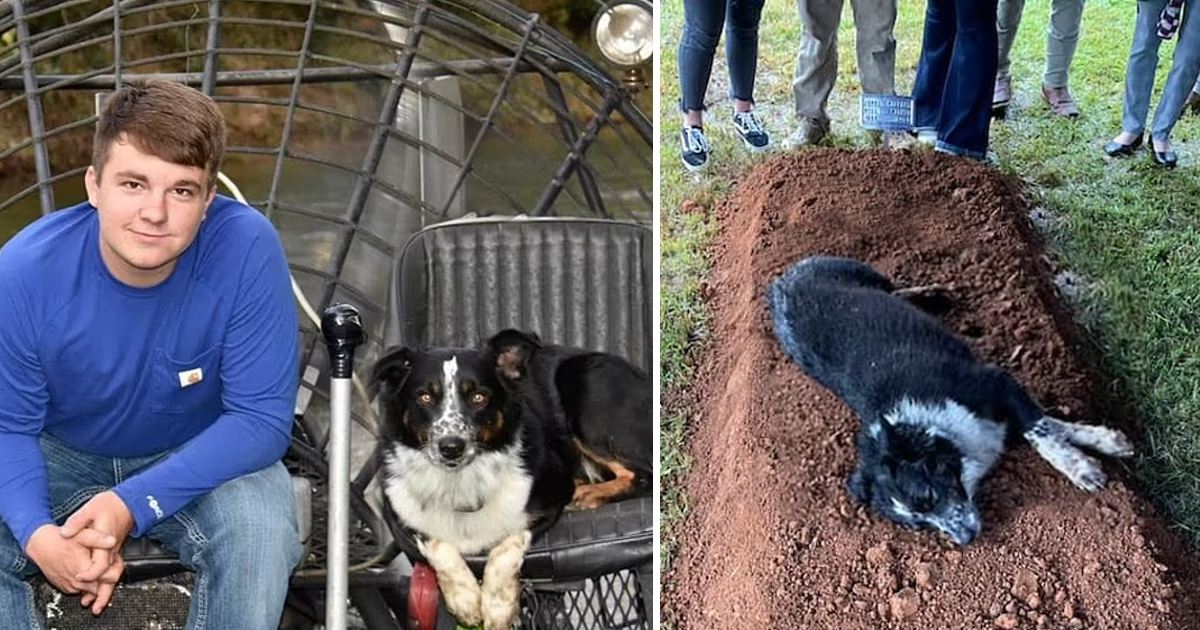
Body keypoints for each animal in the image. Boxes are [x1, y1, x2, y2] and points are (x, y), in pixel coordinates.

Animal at [369, 328, 652, 628]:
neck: (462, 480)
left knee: (642, 474)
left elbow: (508, 543)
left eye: (479, 397)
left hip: (587, 394)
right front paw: (465, 599)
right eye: (424, 397)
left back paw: (591, 494)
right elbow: (436, 542)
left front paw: (497, 606)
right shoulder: (398, 510)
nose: (451, 447)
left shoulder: (551, 491)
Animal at [768, 255, 1132, 544]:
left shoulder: (996, 382)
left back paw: (935, 294)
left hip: (862, 271)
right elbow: (1049, 424)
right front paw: (1106, 443)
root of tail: (780, 281)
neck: (933, 431)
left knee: (893, 287)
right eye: (919, 525)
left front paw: (1083, 467)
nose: (965, 540)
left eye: (927, 496)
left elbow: (1041, 430)